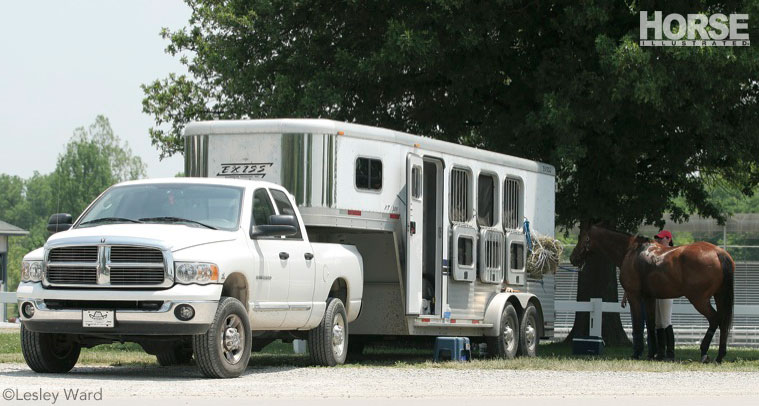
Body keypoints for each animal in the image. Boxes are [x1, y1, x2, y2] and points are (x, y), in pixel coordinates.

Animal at [568, 225, 736, 362]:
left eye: (581, 237)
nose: (572, 258)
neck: (631, 251)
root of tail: (718, 252)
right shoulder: (649, 297)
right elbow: (650, 324)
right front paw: (652, 354)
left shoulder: (634, 296)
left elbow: (638, 324)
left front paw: (637, 353)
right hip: (719, 296)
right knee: (722, 322)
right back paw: (719, 356)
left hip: (699, 299)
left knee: (714, 319)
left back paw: (704, 353)